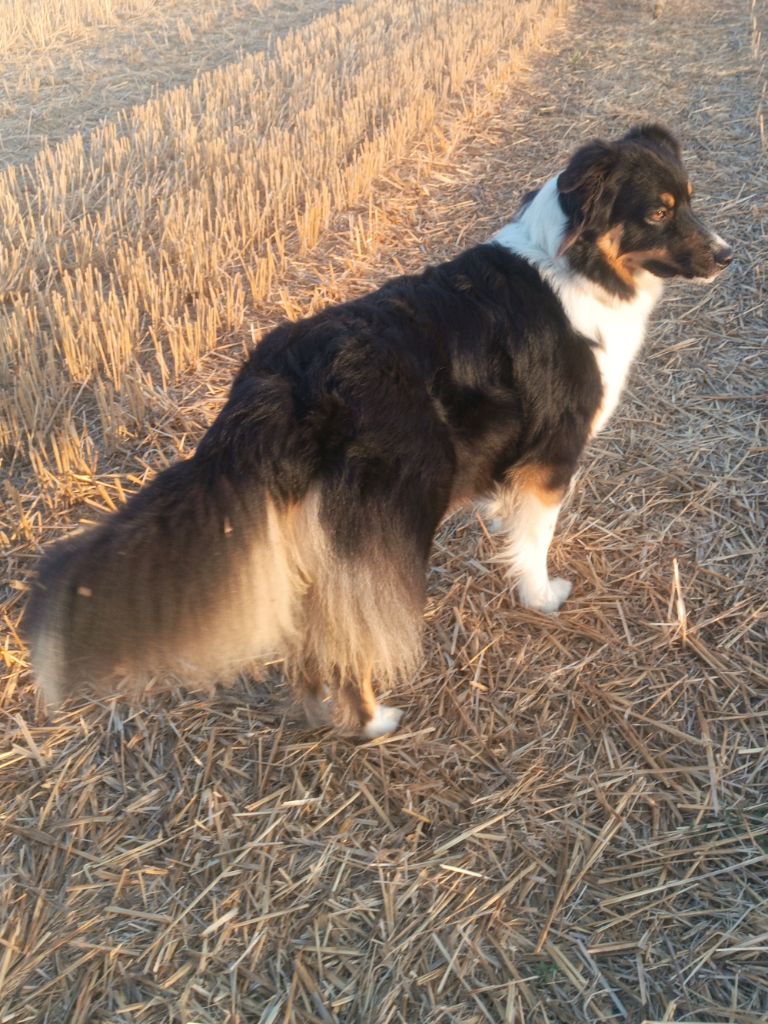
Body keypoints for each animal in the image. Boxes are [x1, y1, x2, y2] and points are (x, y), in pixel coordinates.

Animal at [24, 125, 733, 737]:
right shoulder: (552, 457)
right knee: (352, 637)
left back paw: (321, 709)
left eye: (690, 198)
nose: (727, 256)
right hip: (391, 522)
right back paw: (373, 721)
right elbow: (535, 543)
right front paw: (541, 596)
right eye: (658, 212)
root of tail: (289, 379)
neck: (578, 261)